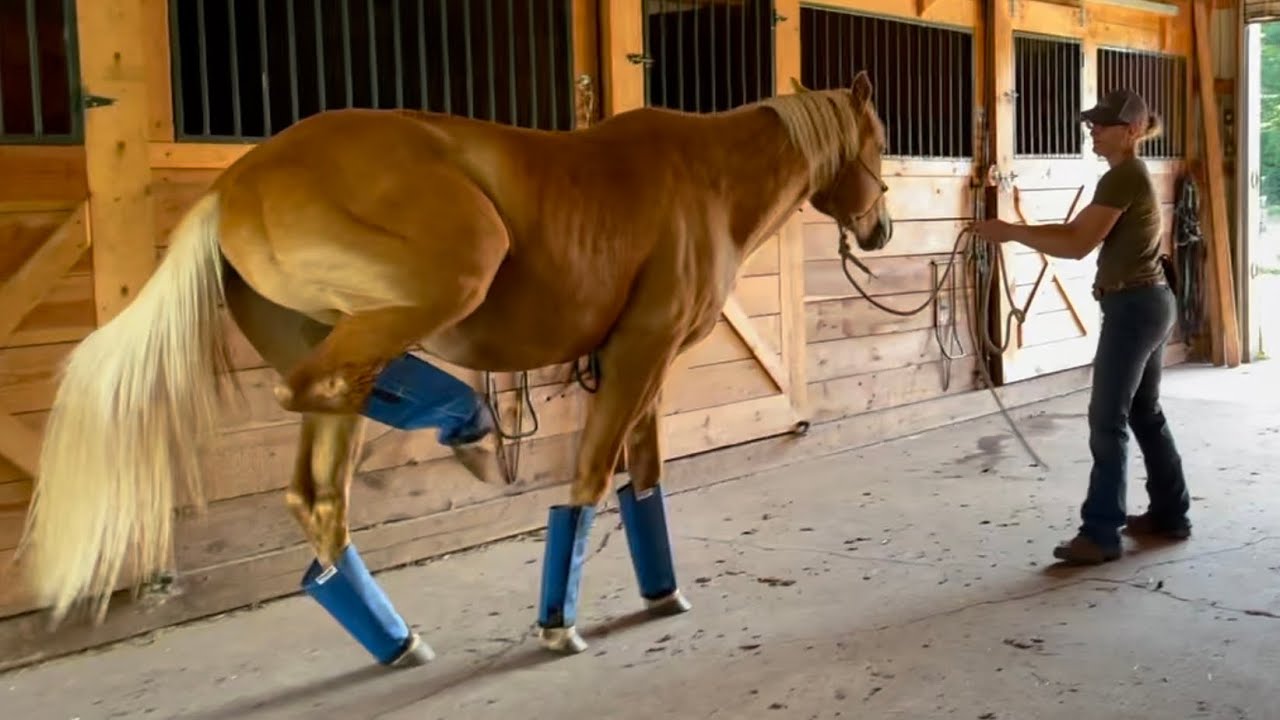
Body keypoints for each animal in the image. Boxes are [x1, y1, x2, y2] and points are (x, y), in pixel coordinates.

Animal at [18, 72, 893, 667]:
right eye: (880, 139)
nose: (881, 230)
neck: (704, 176)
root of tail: (236, 182)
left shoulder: (648, 360)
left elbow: (643, 475)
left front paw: (662, 591)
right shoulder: (637, 354)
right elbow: (591, 477)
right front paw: (558, 623)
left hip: (342, 331)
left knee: (318, 485)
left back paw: (397, 636)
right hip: (445, 282)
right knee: (315, 391)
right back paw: (466, 431)